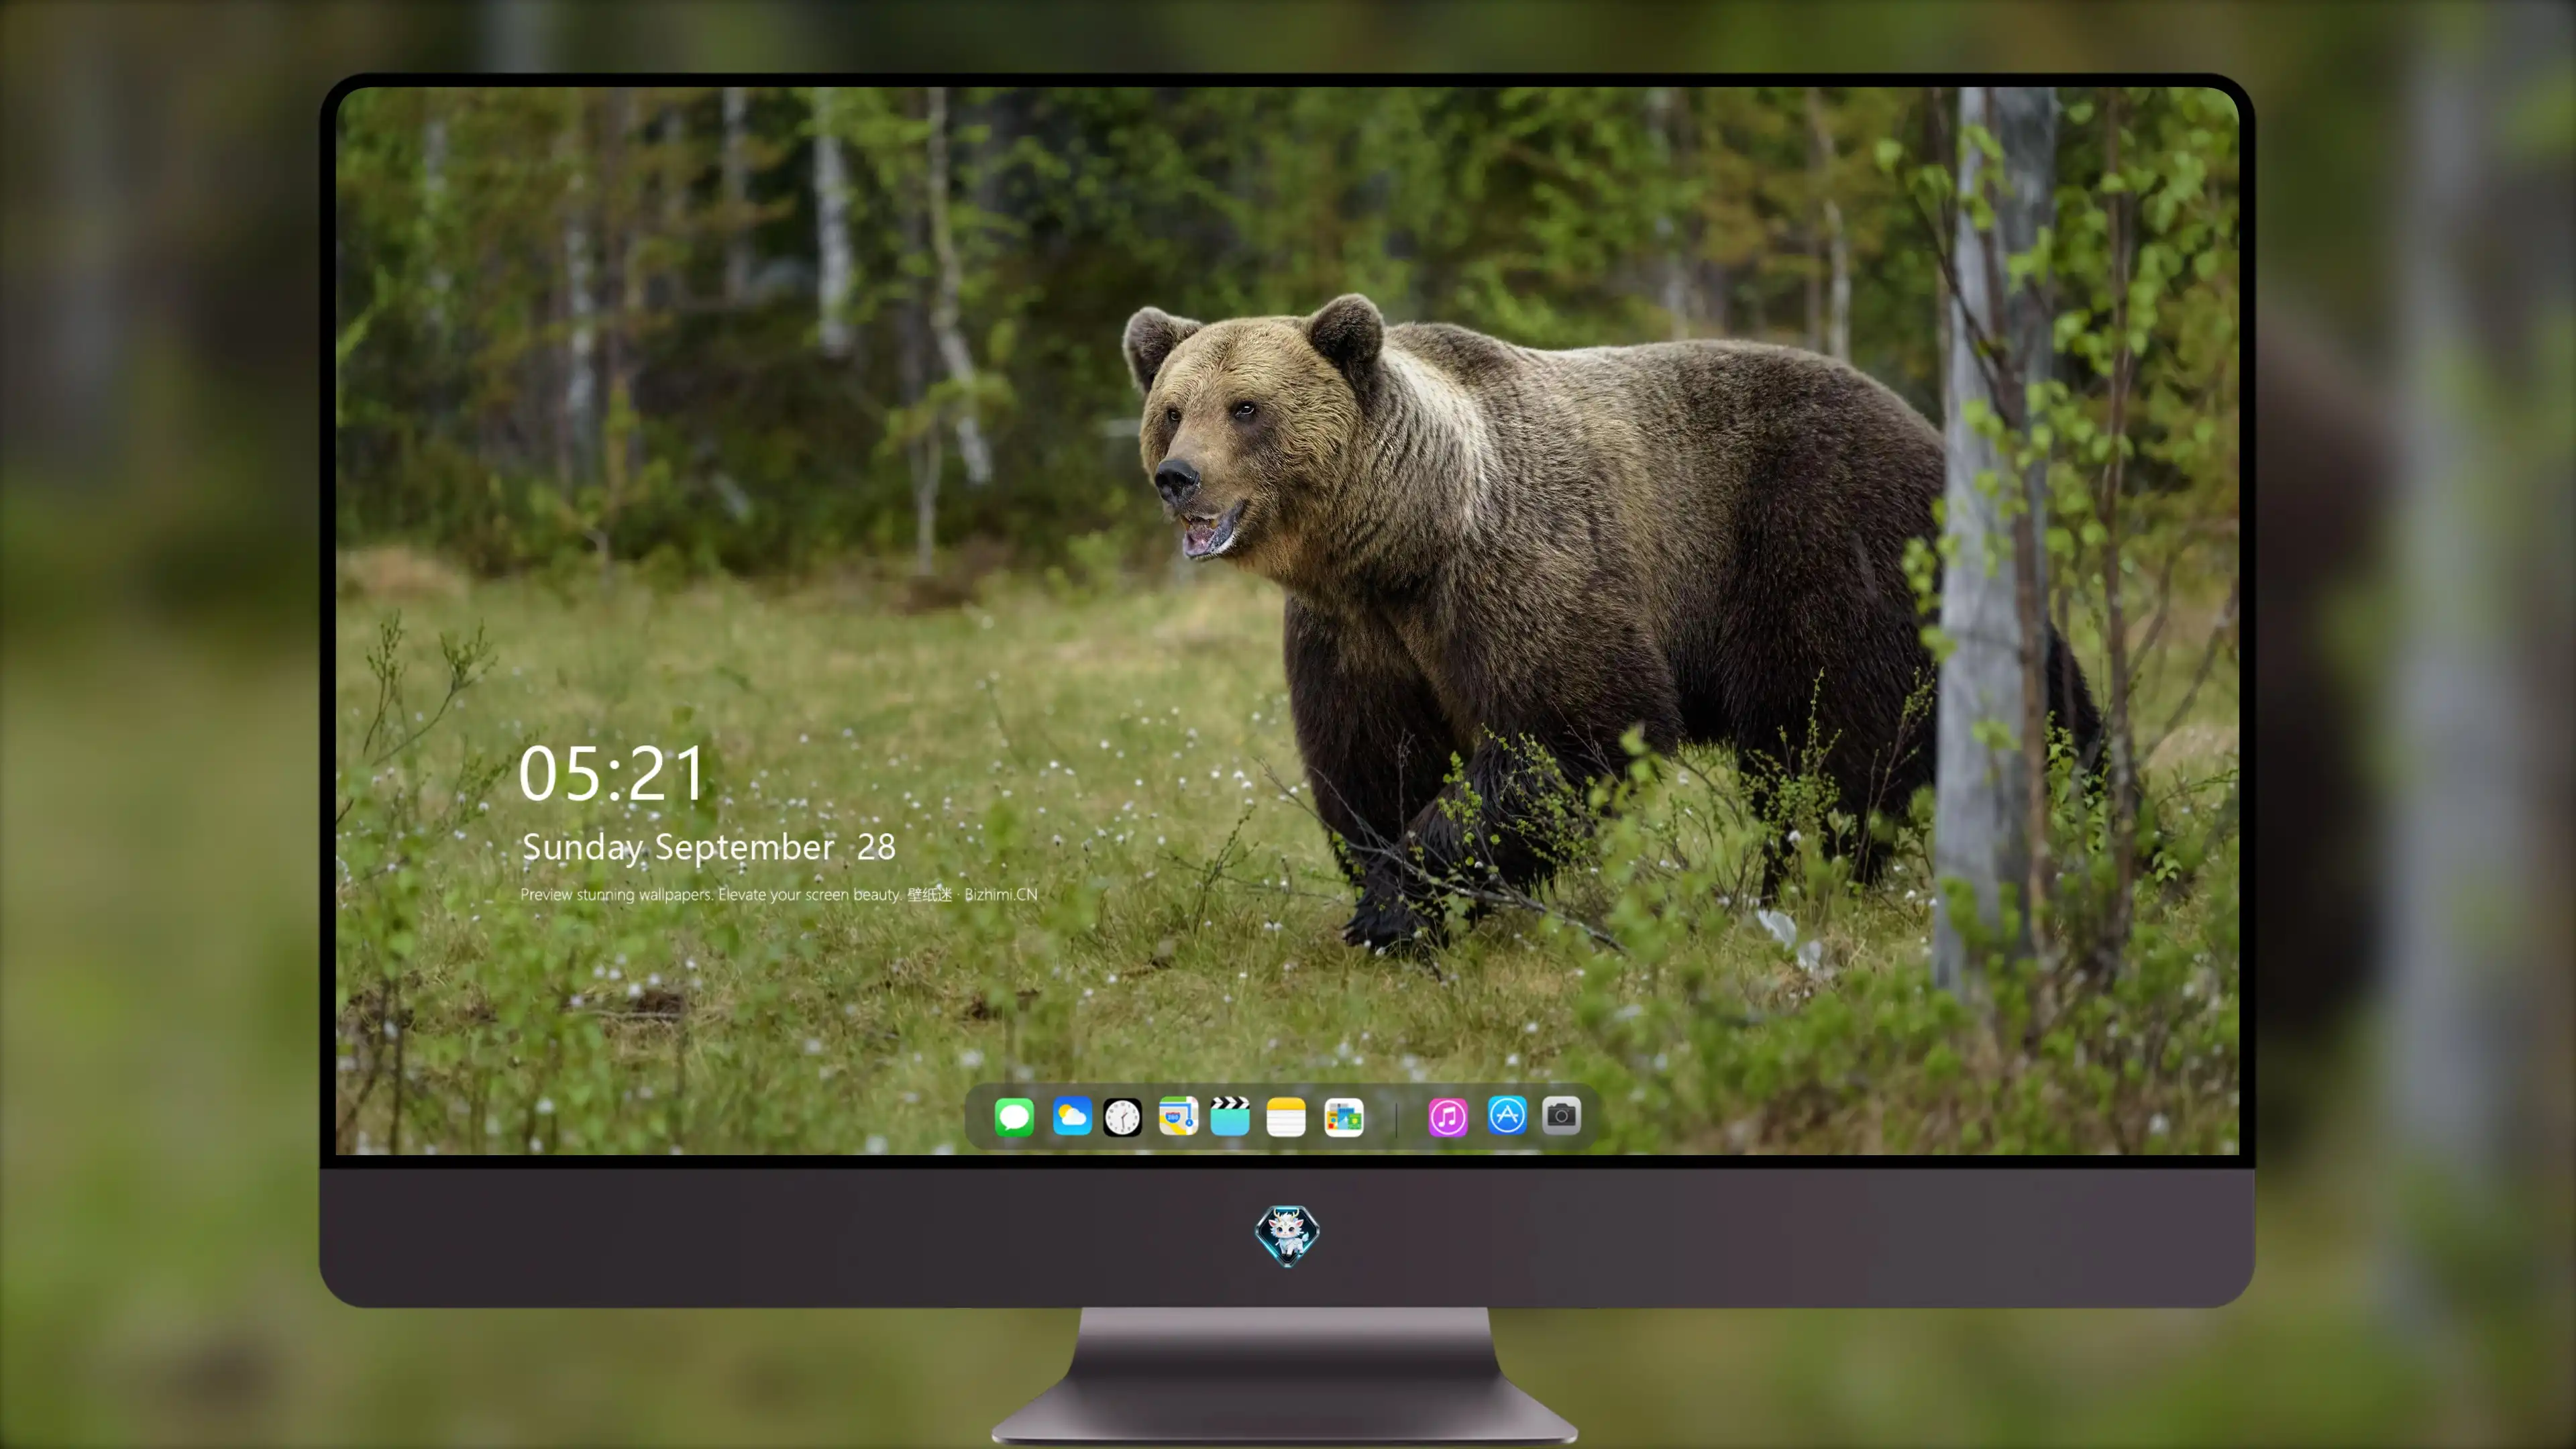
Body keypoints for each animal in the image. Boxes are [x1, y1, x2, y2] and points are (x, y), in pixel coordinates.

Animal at [1121, 293, 2102, 952]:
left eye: (1247, 407)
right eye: (1171, 408)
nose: (1178, 476)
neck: (1400, 543)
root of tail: (1929, 429)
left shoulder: (1516, 573)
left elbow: (1571, 731)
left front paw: (1397, 906)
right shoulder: (1356, 633)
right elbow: (1370, 757)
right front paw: (1392, 890)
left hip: (1824, 542)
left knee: (1825, 738)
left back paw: (1797, 884)